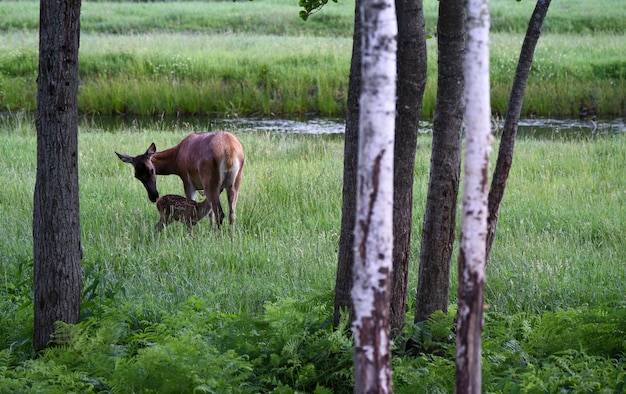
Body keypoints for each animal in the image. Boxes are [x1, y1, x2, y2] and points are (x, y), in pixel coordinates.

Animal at [114, 132, 244, 231]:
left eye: (152, 170)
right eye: (137, 176)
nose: (153, 196)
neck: (175, 160)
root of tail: (230, 151)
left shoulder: (187, 180)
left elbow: (192, 204)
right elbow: (209, 212)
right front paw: (209, 230)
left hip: (210, 180)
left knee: (220, 213)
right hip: (235, 181)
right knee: (232, 213)